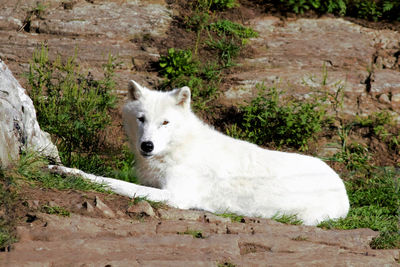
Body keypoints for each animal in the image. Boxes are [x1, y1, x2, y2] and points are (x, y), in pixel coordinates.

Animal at [122, 80, 350, 226]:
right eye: (141, 119)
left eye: (165, 123)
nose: (147, 146)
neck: (178, 148)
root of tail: (342, 186)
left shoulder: (176, 196)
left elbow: (125, 186)